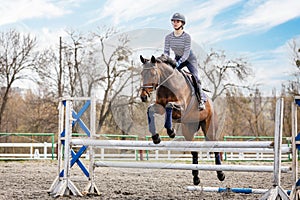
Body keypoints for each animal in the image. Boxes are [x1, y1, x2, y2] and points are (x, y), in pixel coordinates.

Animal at [139, 54, 224, 185]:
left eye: (153, 74)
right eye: (142, 73)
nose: (143, 96)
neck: (169, 83)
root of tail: (211, 102)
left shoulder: (181, 107)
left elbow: (169, 105)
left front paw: (171, 131)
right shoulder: (160, 107)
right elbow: (150, 109)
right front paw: (156, 137)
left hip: (210, 128)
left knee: (215, 146)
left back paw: (220, 174)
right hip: (188, 129)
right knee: (194, 151)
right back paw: (196, 177)